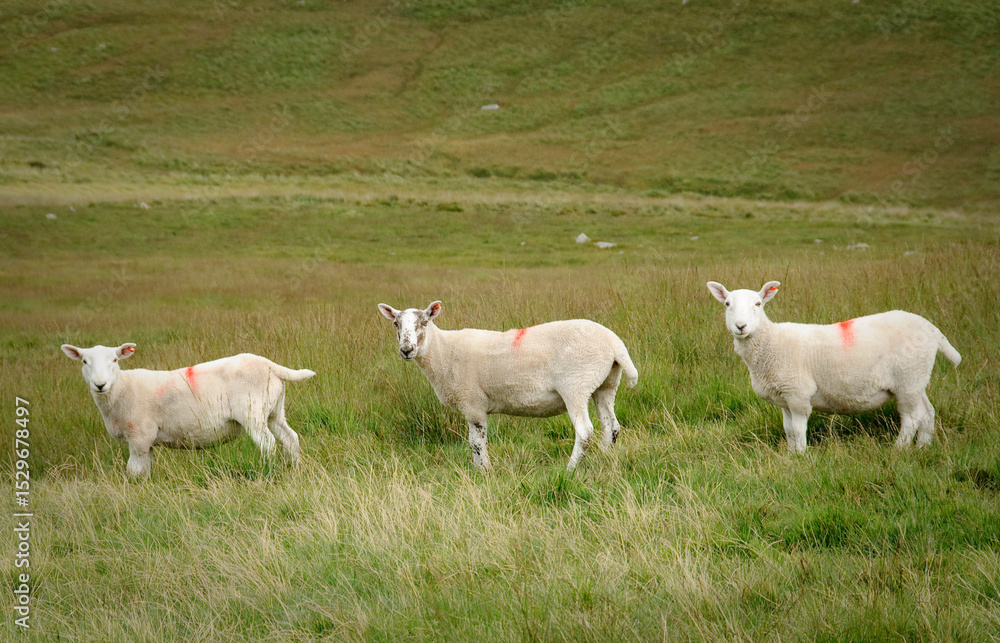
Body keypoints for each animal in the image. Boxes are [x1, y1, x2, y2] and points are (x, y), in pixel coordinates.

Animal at [61, 343, 315, 477]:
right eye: (84, 362)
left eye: (114, 360)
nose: (99, 384)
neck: (122, 389)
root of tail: (270, 365)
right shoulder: (147, 442)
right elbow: (145, 470)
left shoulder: (139, 437)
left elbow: (133, 470)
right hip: (274, 411)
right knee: (290, 438)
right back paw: (295, 469)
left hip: (253, 412)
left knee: (268, 444)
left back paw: (267, 471)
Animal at [377, 301, 639, 471]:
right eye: (396, 324)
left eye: (423, 322)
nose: (406, 350)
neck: (443, 352)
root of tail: (615, 344)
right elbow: (474, 442)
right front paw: (480, 470)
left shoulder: (472, 403)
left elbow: (476, 442)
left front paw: (484, 471)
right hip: (605, 384)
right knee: (611, 426)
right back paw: (604, 458)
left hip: (576, 385)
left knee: (585, 431)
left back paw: (571, 468)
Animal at [706, 280, 961, 452]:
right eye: (727, 304)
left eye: (758, 304)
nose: (741, 326)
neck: (771, 343)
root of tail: (930, 328)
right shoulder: (784, 398)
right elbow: (789, 430)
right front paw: (790, 454)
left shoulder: (798, 394)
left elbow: (798, 430)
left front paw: (800, 456)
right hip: (917, 379)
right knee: (927, 412)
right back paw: (923, 448)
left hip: (907, 380)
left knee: (911, 418)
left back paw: (899, 449)